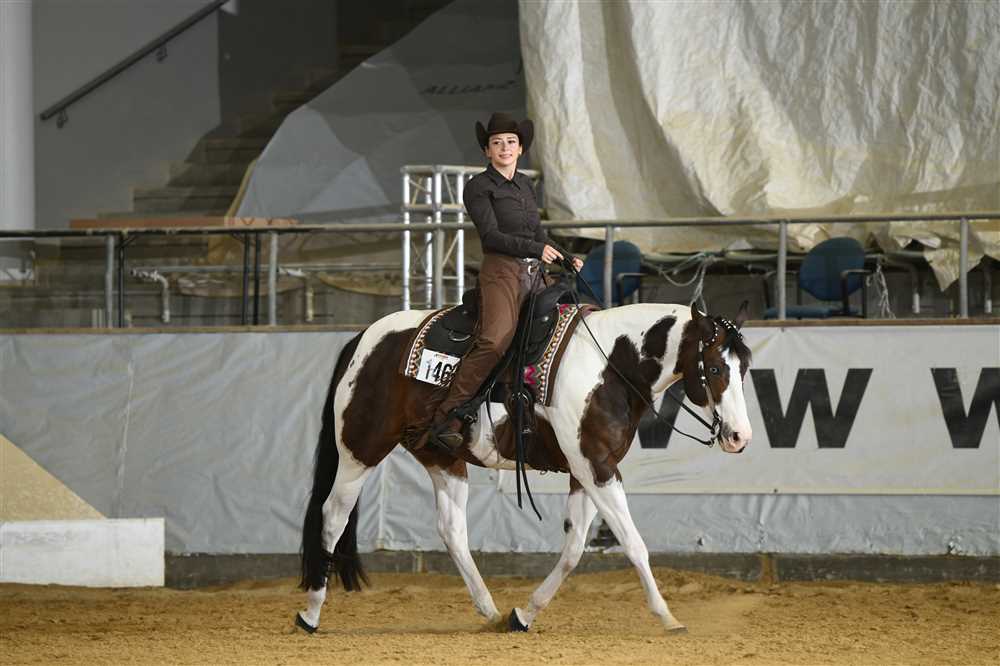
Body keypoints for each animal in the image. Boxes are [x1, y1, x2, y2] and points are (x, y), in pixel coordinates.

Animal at [295, 299, 753, 634]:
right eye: (714, 367)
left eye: (744, 368)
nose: (739, 436)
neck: (609, 365)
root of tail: (363, 338)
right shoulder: (597, 467)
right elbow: (633, 543)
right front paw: (667, 615)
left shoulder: (586, 470)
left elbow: (574, 548)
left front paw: (523, 614)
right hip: (360, 450)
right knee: (332, 517)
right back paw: (311, 612)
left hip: (442, 457)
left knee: (451, 529)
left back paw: (489, 609)